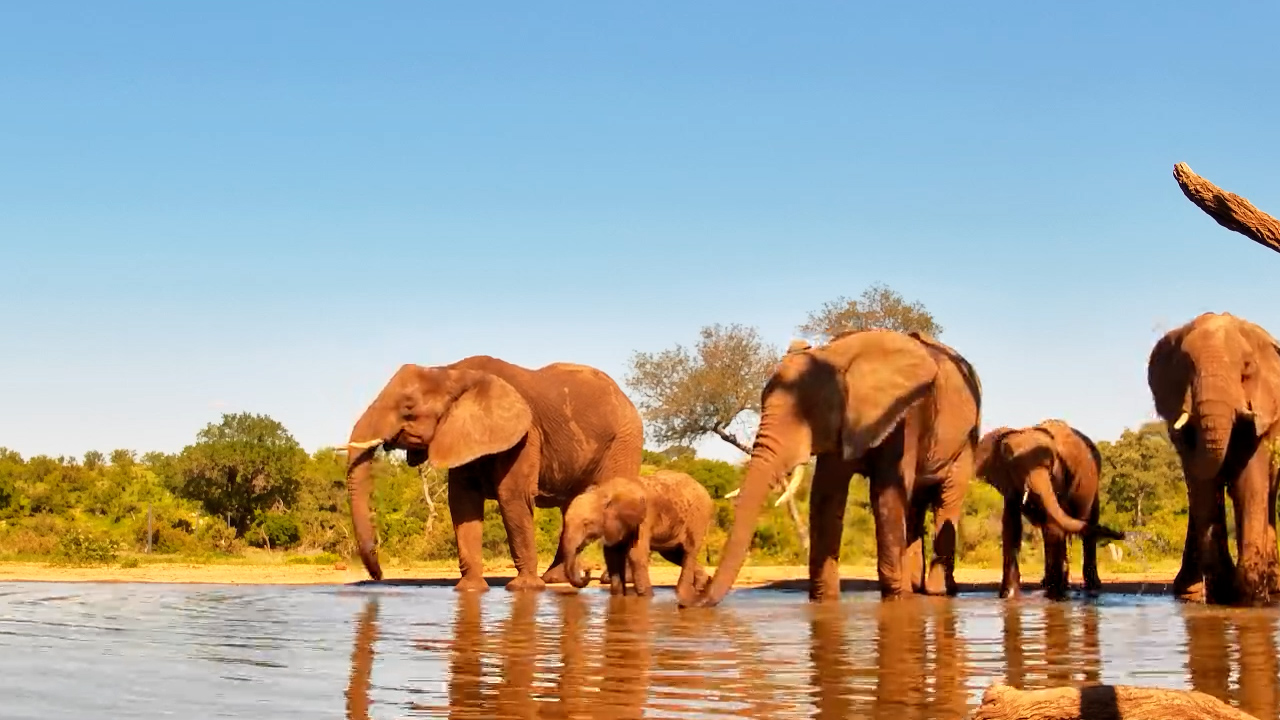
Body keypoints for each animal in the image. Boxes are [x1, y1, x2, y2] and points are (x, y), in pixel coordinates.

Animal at [342, 356, 644, 591]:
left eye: (408, 409)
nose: (378, 575)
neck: (451, 372)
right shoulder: (462, 434)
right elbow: (462, 502)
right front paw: (470, 589)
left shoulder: (526, 434)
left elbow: (511, 496)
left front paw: (524, 588)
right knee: (571, 509)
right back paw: (555, 580)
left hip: (625, 438)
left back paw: (606, 580)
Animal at [561, 470, 713, 598]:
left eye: (587, 523)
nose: (587, 571)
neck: (604, 491)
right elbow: (611, 555)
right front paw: (618, 597)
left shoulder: (644, 519)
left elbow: (636, 554)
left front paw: (647, 597)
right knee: (673, 554)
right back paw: (701, 586)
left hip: (698, 518)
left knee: (689, 551)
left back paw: (682, 592)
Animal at [686, 328, 982, 606]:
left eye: (811, 411)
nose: (691, 598)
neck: (837, 356)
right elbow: (826, 497)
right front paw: (824, 602)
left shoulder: (906, 415)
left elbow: (884, 496)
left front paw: (897, 601)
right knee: (915, 507)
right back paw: (918, 589)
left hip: (966, 440)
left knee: (946, 501)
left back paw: (937, 592)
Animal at [975, 420, 1124, 600]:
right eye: (1018, 469)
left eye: (1049, 467)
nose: (1123, 534)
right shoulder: (1008, 483)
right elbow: (1011, 526)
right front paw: (1008, 596)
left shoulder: (1059, 478)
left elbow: (1052, 524)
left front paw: (1054, 597)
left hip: (1093, 486)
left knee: (1087, 527)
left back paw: (1090, 587)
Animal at [1148, 311, 1280, 605]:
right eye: (1186, 366)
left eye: (1247, 368)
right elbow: (1204, 488)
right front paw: (1223, 591)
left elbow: (1250, 482)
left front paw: (1249, 598)